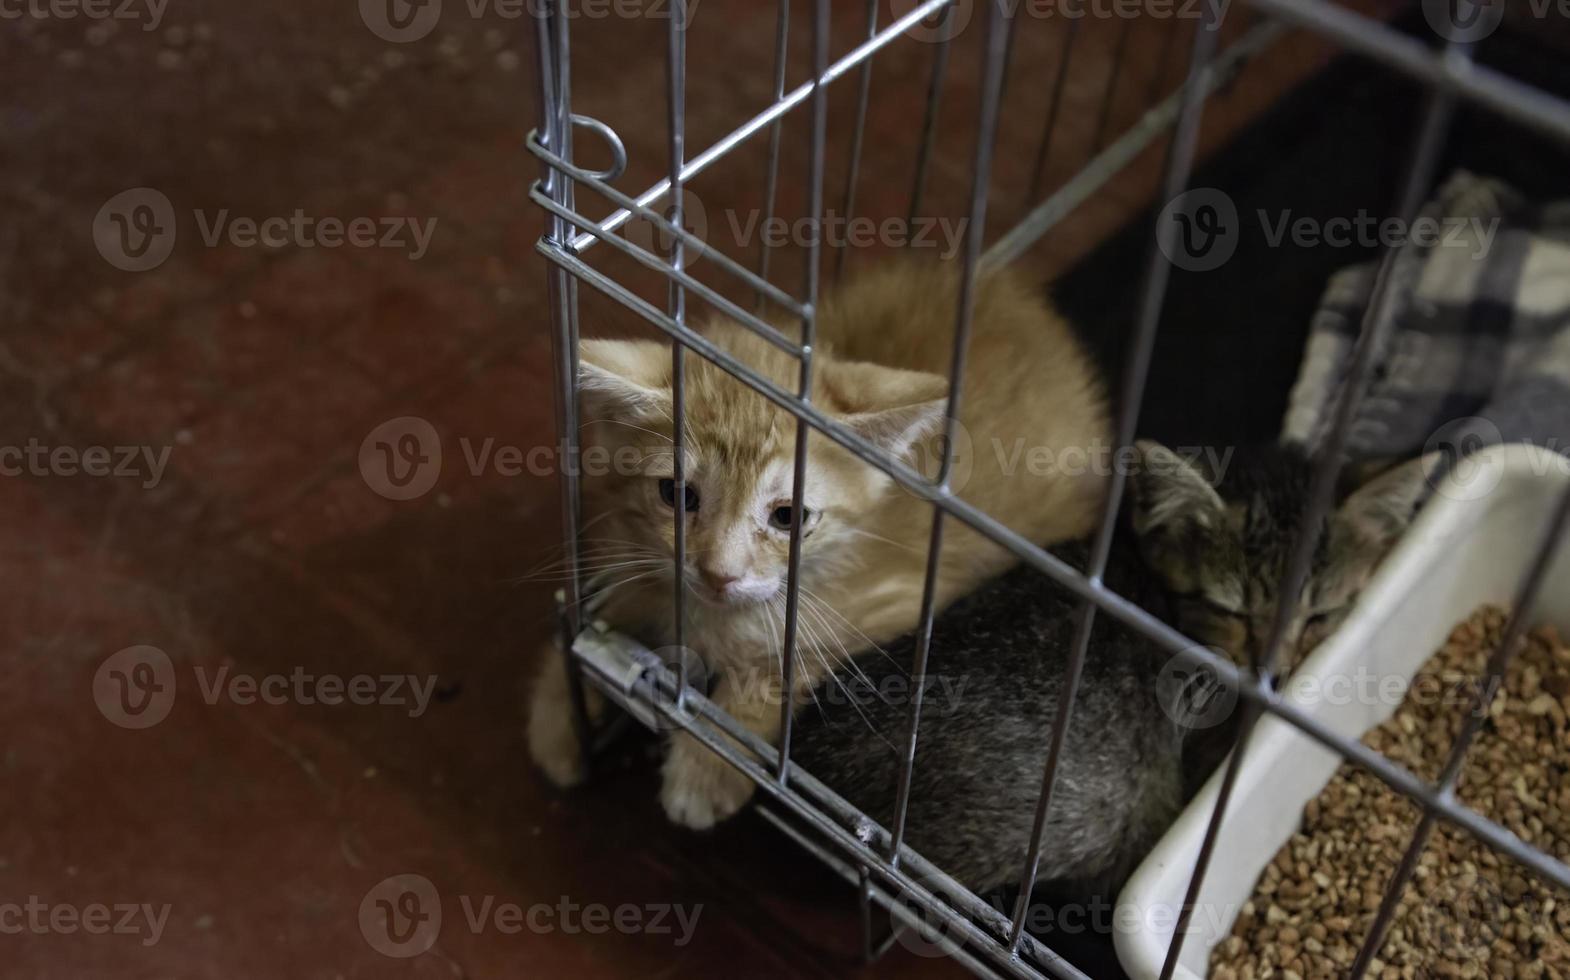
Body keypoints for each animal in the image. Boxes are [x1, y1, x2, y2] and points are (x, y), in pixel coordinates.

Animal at [530, 260, 1117, 829]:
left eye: (788, 517)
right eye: (676, 494)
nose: (719, 573)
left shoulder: (894, 604)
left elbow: (786, 665)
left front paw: (707, 767)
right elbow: (594, 621)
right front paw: (559, 717)